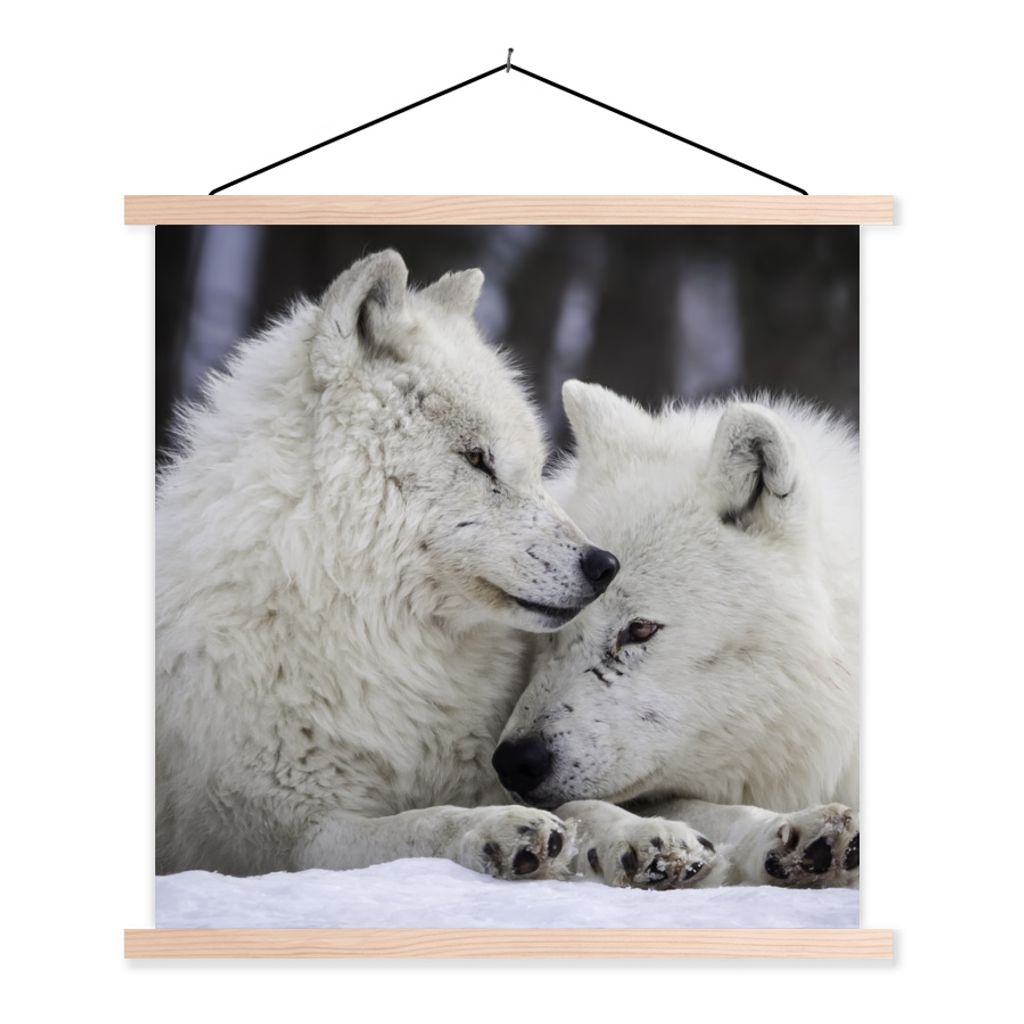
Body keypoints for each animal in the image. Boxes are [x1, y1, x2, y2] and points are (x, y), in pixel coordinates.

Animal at [156, 251, 621, 879]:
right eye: (478, 460)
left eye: (534, 467)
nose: (605, 565)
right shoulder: (285, 837)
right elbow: (421, 825)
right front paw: (494, 831)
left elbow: (584, 805)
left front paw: (656, 840)